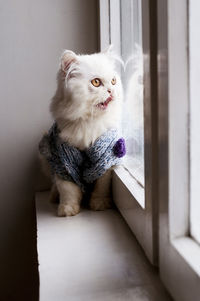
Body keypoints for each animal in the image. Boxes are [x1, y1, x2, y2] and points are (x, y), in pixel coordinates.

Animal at [39, 47, 122, 216]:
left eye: (113, 81)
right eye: (96, 82)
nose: (111, 90)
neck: (89, 122)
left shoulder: (104, 159)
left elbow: (101, 187)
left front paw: (99, 204)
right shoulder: (63, 163)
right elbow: (68, 191)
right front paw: (67, 211)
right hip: (46, 156)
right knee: (55, 185)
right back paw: (53, 197)